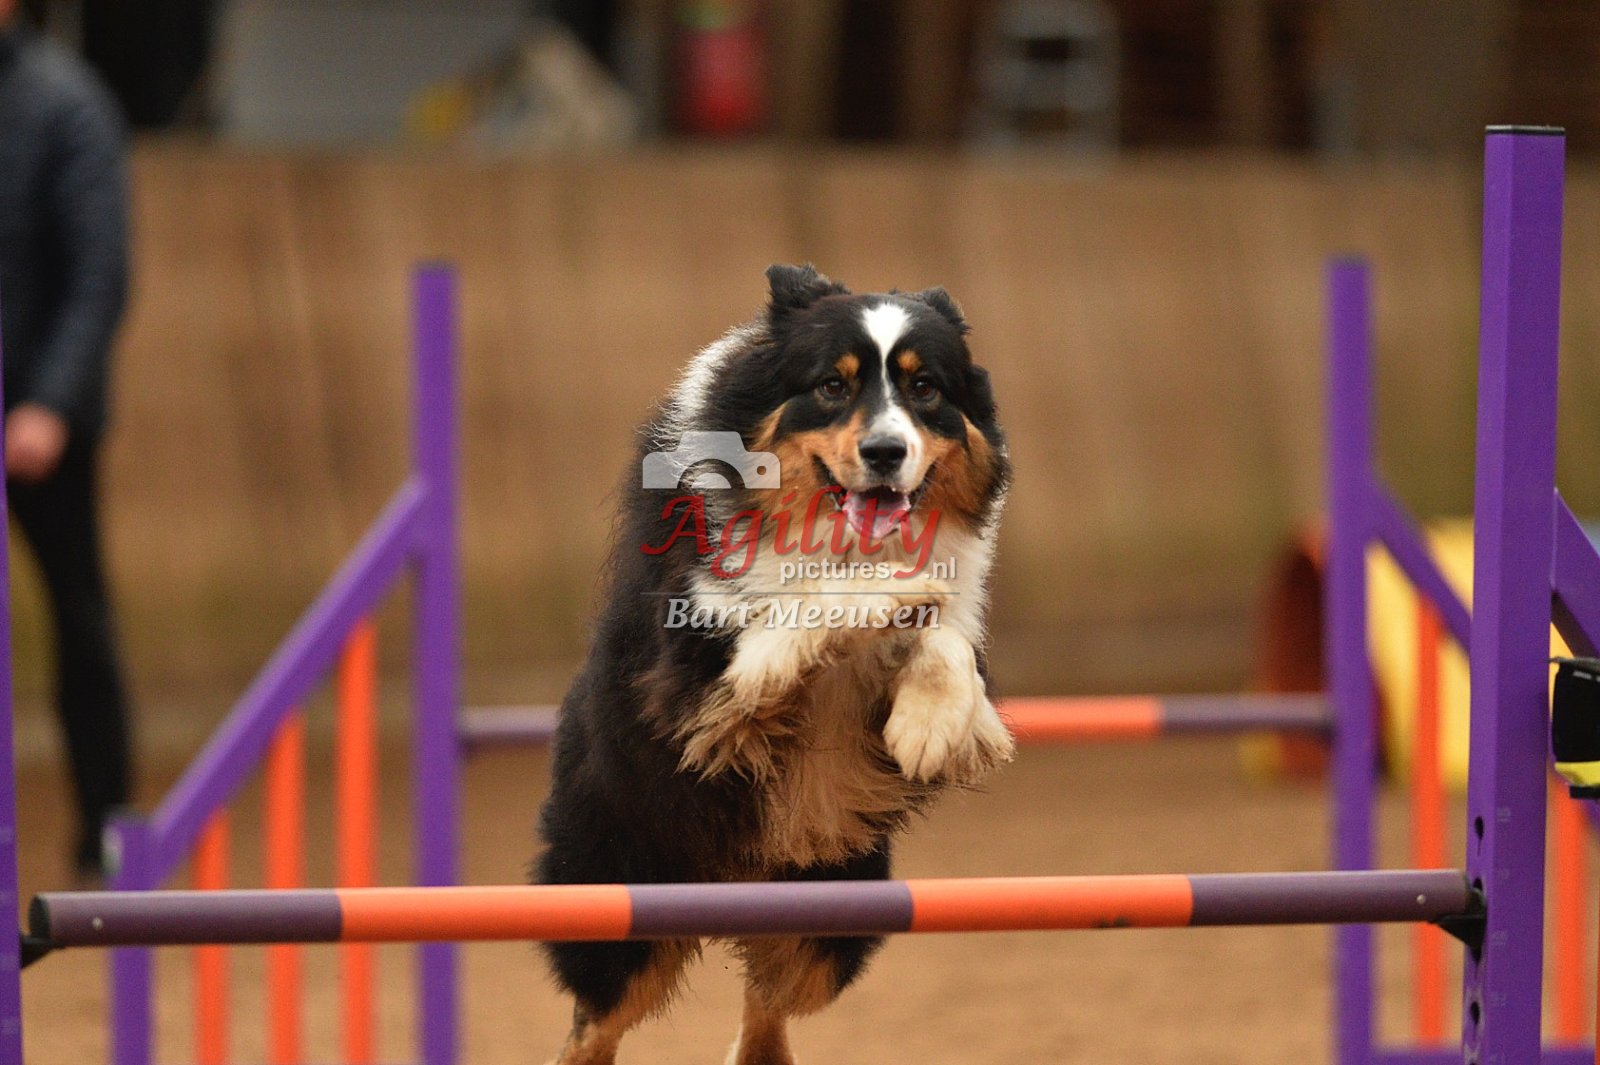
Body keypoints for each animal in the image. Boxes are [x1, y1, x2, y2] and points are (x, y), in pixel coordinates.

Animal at [536, 264, 1012, 1065]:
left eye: (925, 388)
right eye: (830, 385)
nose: (886, 452)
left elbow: (946, 640)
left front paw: (928, 727)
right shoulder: (707, 681)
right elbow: (817, 600)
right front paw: (897, 585)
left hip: (835, 911)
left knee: (769, 995)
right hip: (622, 907)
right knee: (590, 1027)